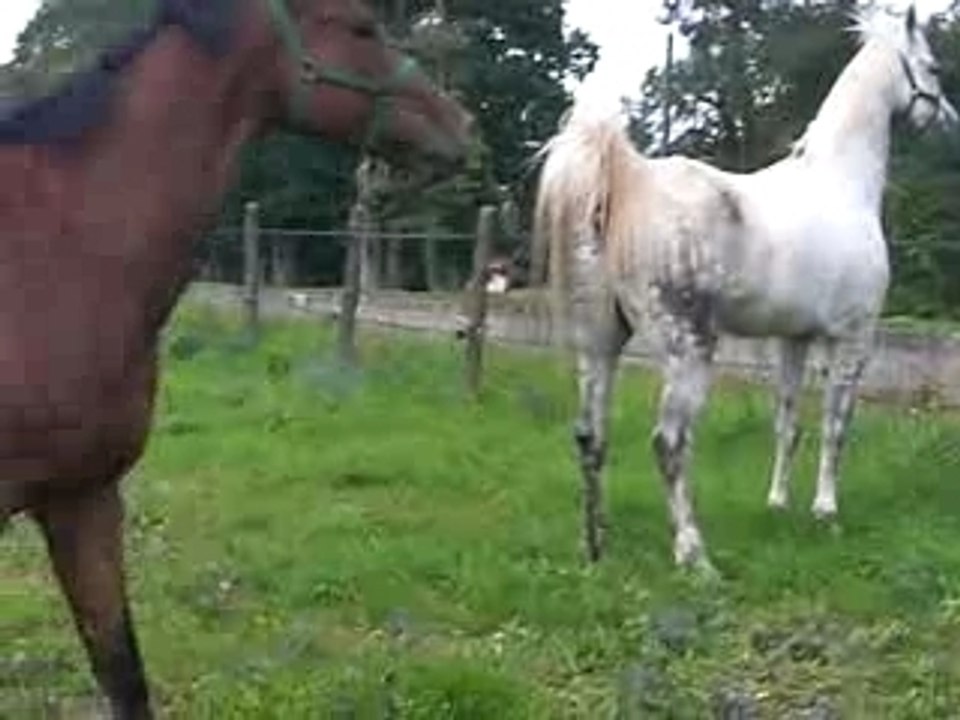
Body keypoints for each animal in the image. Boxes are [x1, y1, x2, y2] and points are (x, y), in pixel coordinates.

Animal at [533, 6, 956, 574]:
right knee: (669, 443)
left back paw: (596, 545)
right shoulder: (853, 339)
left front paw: (778, 503)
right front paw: (826, 510)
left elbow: (788, 423)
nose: (949, 124)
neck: (841, 185)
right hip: (689, 350)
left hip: (601, 344)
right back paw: (694, 556)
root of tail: (621, 188)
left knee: (590, 436)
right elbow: (836, 425)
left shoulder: (792, 340)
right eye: (931, 66)